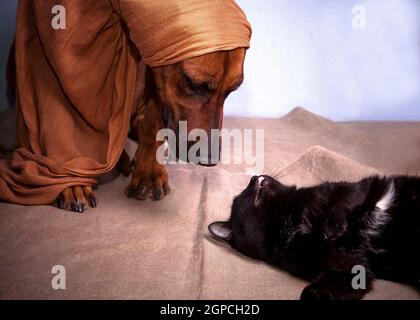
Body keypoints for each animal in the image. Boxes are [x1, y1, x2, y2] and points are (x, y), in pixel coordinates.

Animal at [55, 47, 246, 211]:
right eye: (193, 83)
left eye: (231, 91)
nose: (210, 160)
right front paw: (71, 182)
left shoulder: (150, 102)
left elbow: (153, 129)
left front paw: (149, 174)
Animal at [209, 174, 420, 298]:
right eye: (242, 194)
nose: (254, 176)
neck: (290, 222)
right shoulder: (350, 269)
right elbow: (311, 293)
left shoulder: (348, 190)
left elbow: (339, 202)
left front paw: (334, 227)